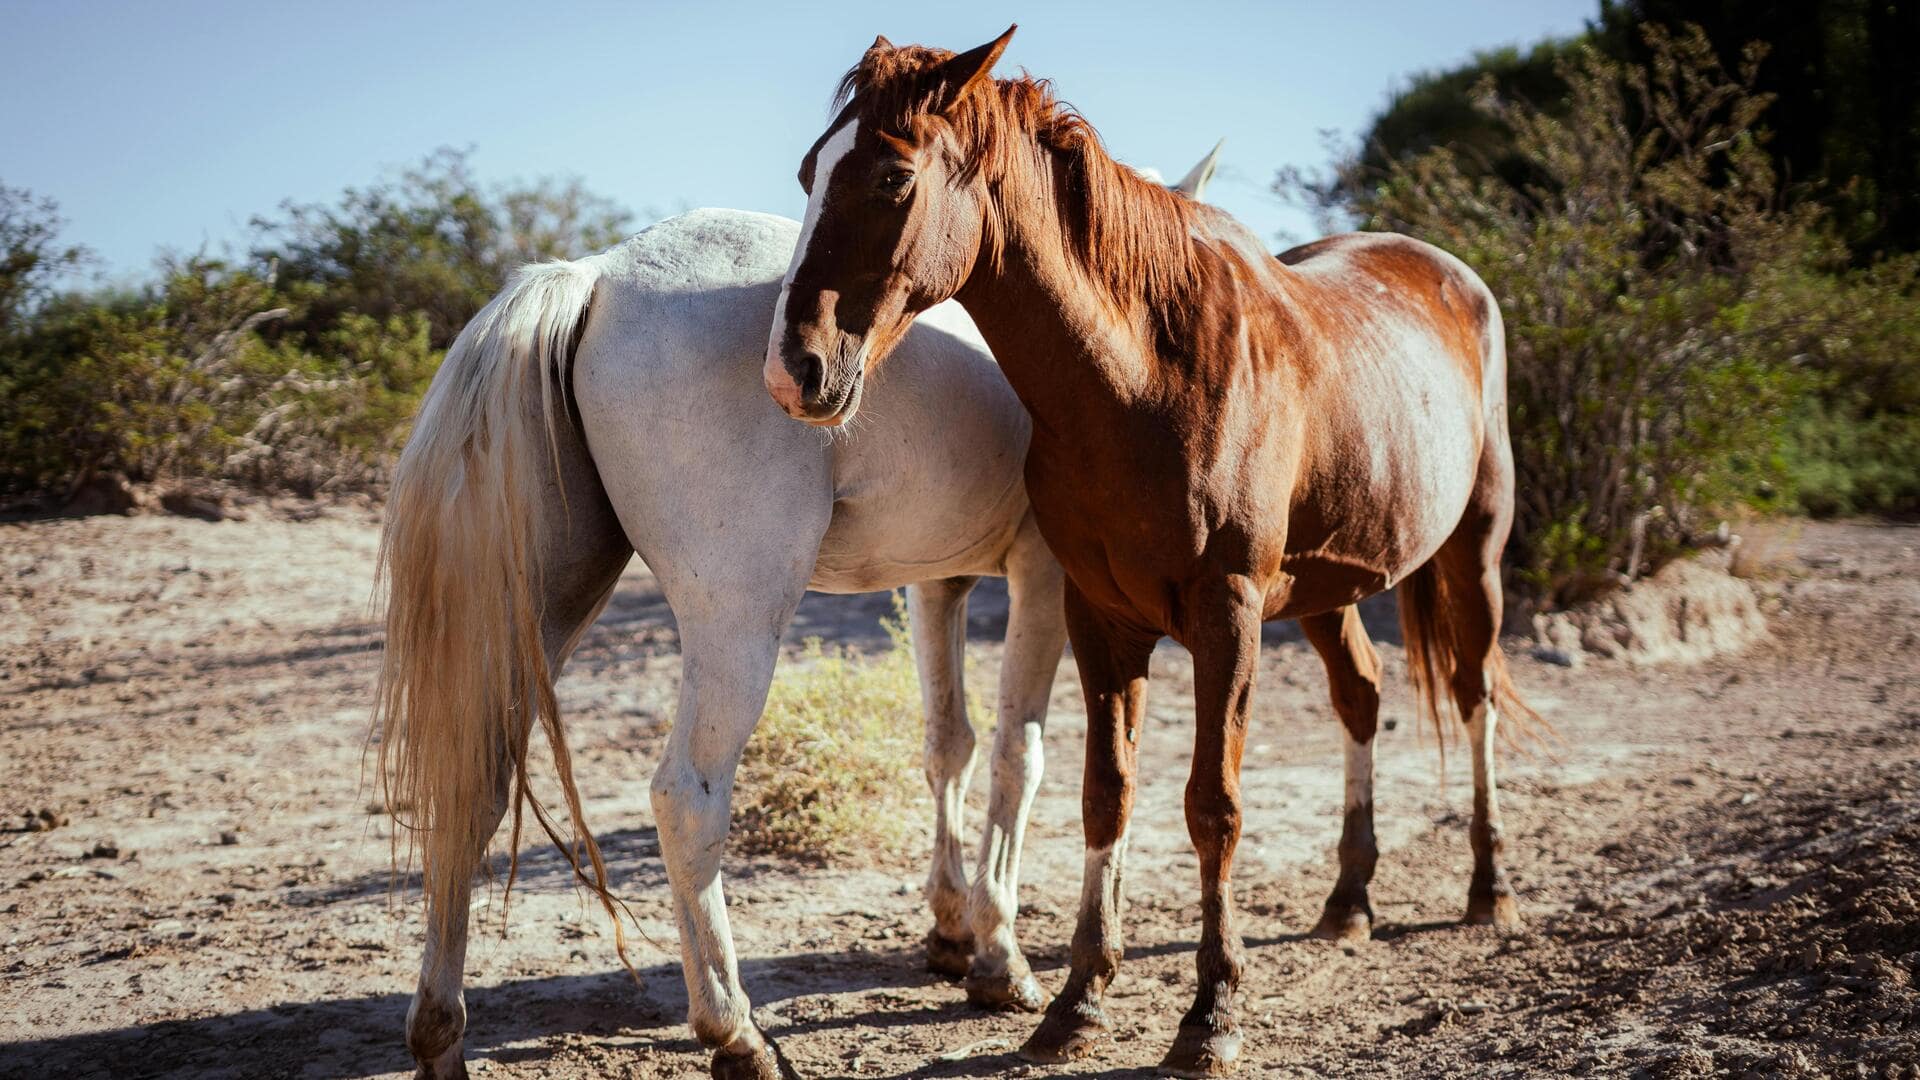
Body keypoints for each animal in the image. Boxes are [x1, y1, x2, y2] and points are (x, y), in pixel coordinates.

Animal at [372, 145, 1213, 1076]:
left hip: (550, 610)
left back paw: (440, 1033)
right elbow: (1015, 756)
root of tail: (595, 274)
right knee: (686, 796)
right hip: (738, 621)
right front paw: (1000, 957)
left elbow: (947, 744)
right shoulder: (1043, 579)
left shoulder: (939, 585)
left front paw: (951, 928)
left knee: (475, 787)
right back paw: (735, 1033)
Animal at [756, 27, 1536, 1076]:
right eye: (809, 171)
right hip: (1330, 590)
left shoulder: (1228, 615)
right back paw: (1348, 901)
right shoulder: (1101, 616)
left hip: (1472, 554)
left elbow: (1213, 805)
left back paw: (1491, 888)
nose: (792, 369)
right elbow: (1105, 796)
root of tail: (1453, 274)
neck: (1147, 378)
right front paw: (1077, 1001)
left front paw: (1212, 1014)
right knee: (1363, 698)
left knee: (1473, 691)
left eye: (890, 176)